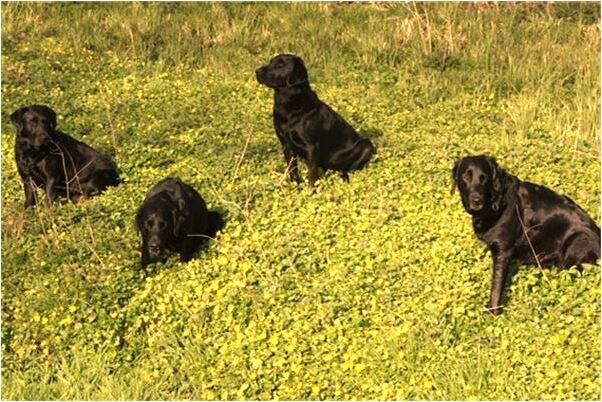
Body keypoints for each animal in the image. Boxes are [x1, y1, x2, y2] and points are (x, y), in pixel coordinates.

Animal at [254, 53, 376, 188]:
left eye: (281, 64)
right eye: (271, 61)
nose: (257, 71)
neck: (289, 107)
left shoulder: (311, 147)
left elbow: (312, 175)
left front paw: (311, 191)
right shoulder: (286, 145)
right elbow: (292, 169)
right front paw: (296, 186)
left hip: (366, 145)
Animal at [452, 154, 596, 314]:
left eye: (484, 178)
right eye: (466, 176)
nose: (477, 201)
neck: (496, 202)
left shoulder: (503, 250)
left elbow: (496, 287)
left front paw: (493, 312)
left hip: (578, 239)